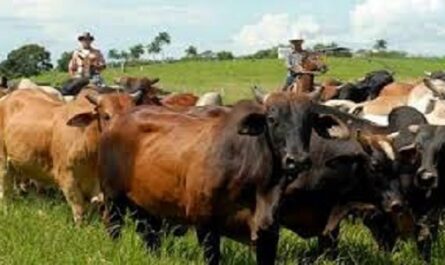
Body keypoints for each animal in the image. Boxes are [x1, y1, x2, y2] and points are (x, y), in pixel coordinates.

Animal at [0, 87, 140, 222]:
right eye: (106, 116)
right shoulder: (67, 179)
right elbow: (79, 211)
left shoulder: (97, 186)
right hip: (3, 163)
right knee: (5, 191)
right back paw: (7, 211)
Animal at [99, 89, 348, 262]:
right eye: (271, 119)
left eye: (309, 121)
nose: (297, 160)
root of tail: (118, 120)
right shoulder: (205, 225)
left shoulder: (268, 232)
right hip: (113, 200)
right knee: (114, 229)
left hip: (147, 207)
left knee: (150, 235)